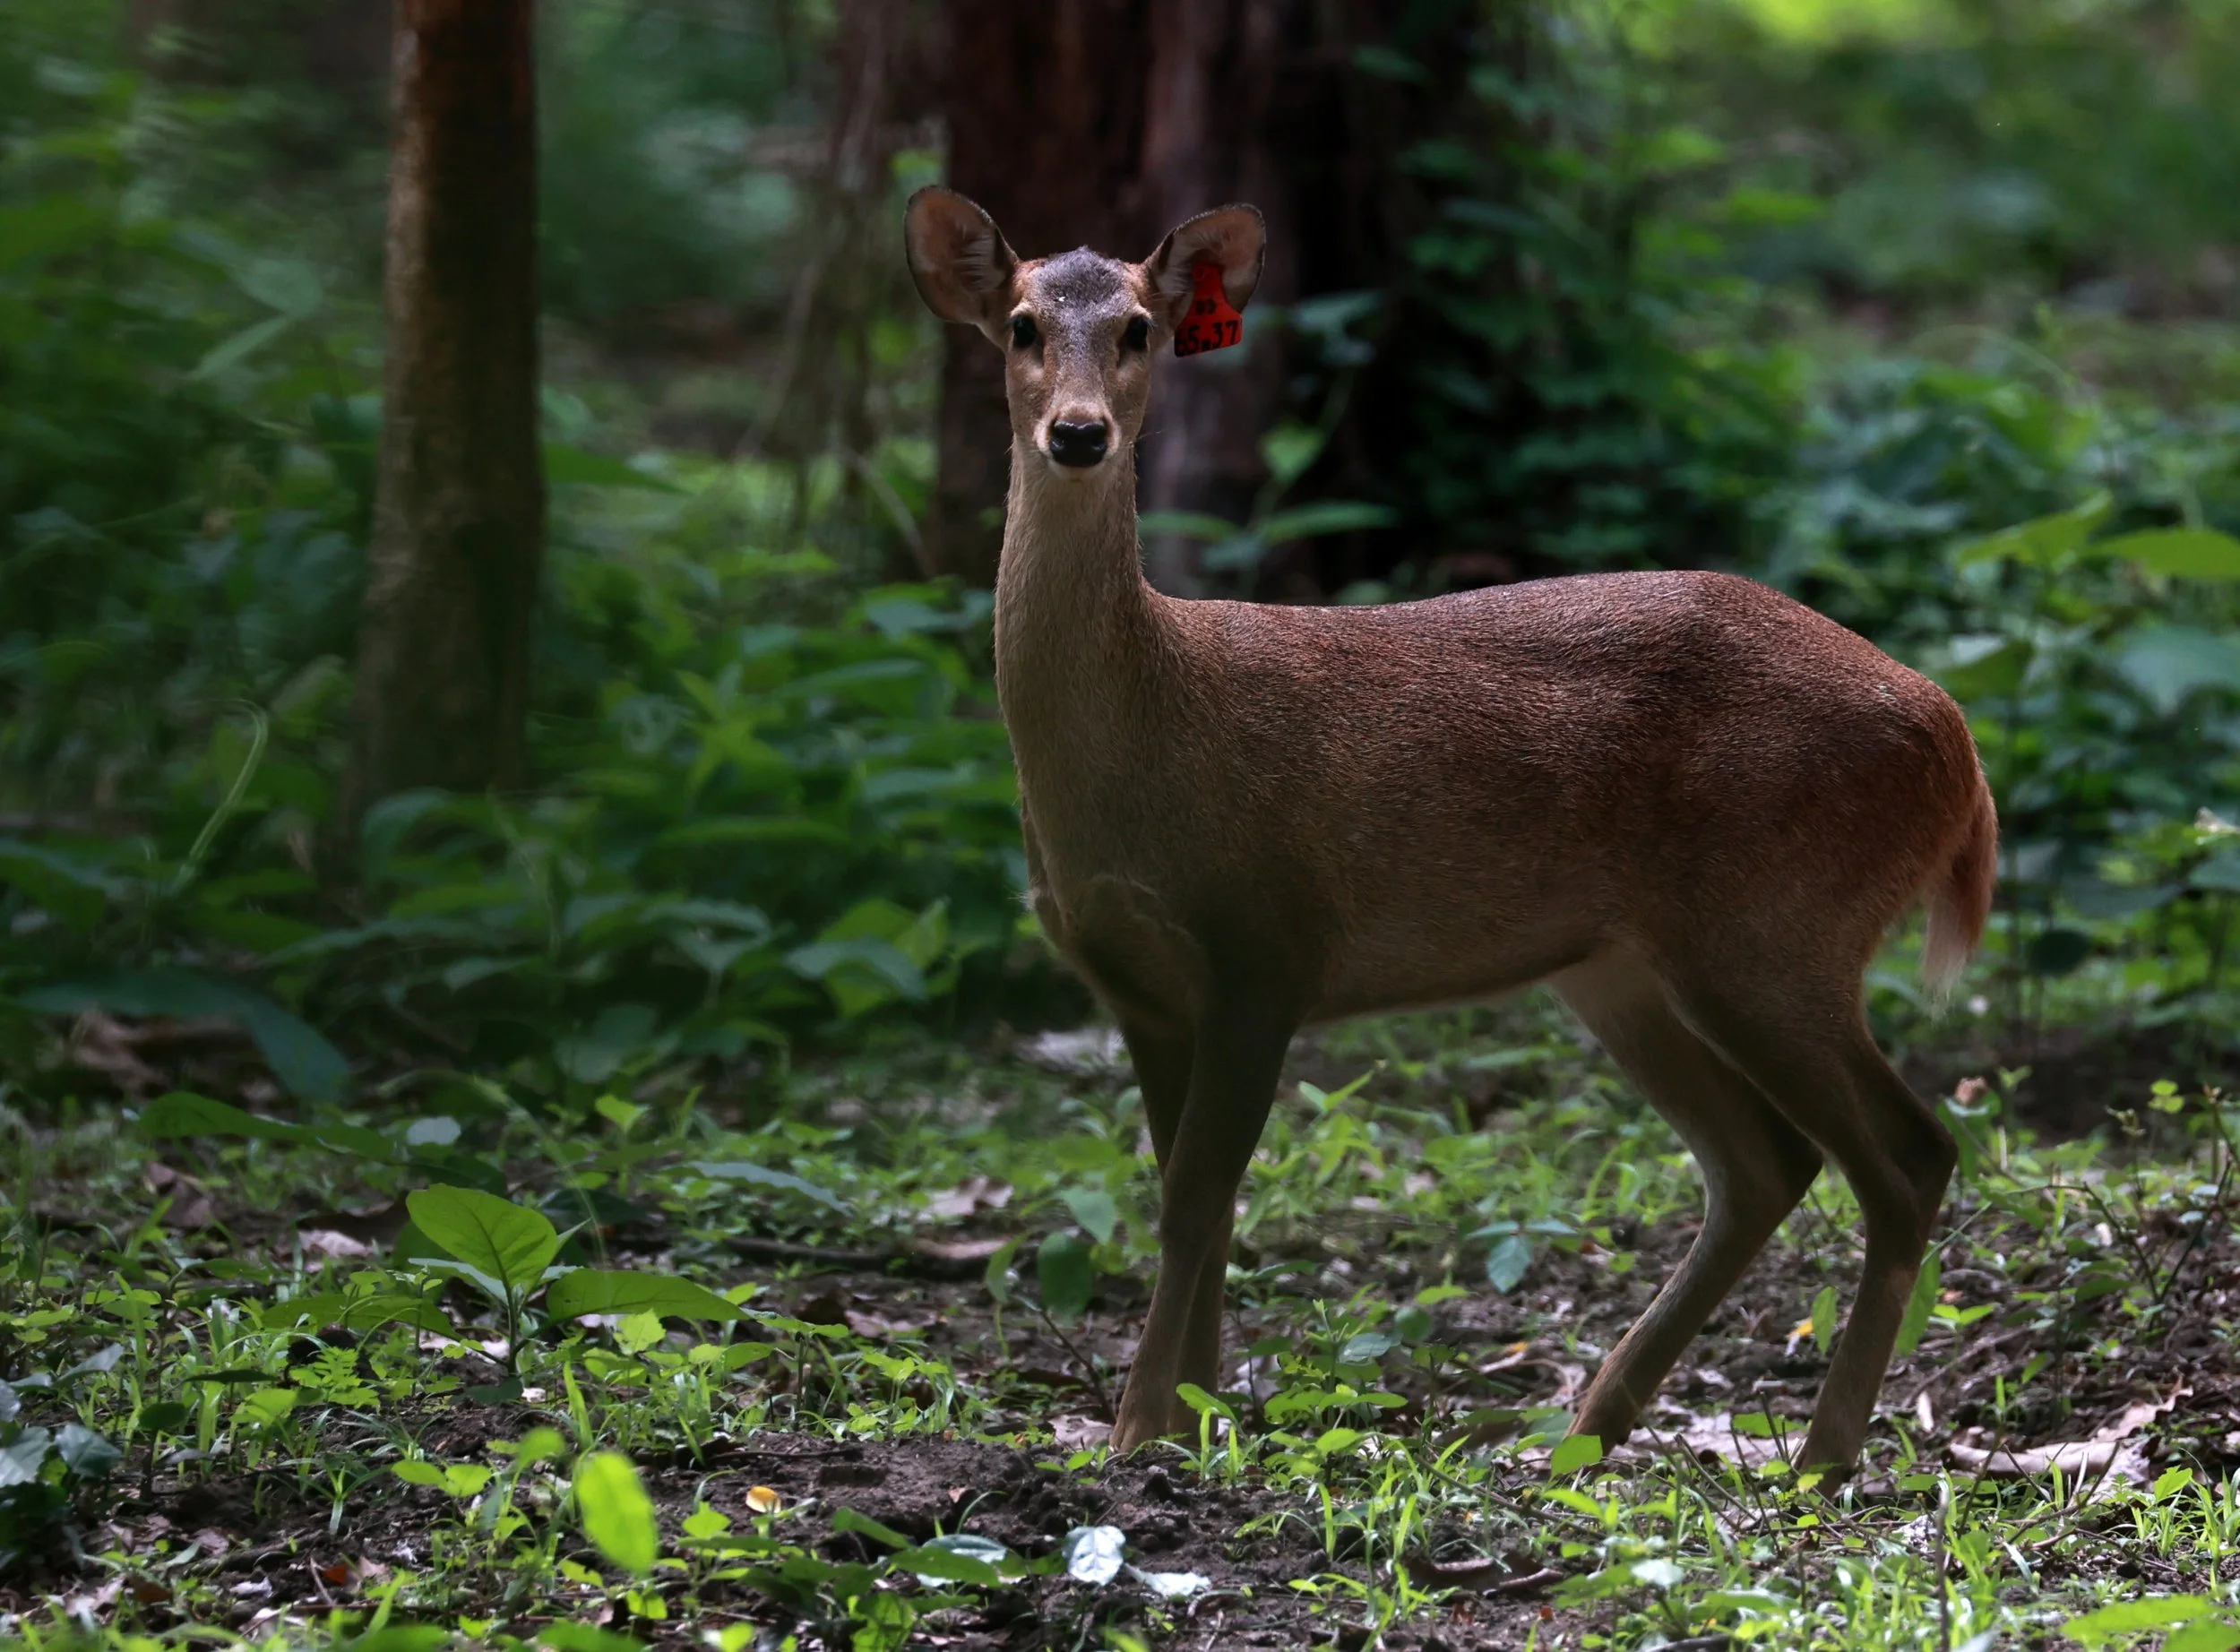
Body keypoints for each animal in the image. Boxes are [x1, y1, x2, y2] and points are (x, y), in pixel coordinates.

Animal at [902, 185, 1998, 1475]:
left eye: (1136, 329)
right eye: (1022, 324)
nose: (1077, 435)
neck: (1145, 738)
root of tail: (1952, 737)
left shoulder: (1269, 945)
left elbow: (1194, 1200)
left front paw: (1135, 1432)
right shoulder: (1141, 989)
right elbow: (1191, 1199)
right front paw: (1197, 1419)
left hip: (1778, 927)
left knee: (1908, 1154)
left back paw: (1818, 1455)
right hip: (1625, 967)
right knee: (1763, 1163)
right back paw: (1586, 1430)